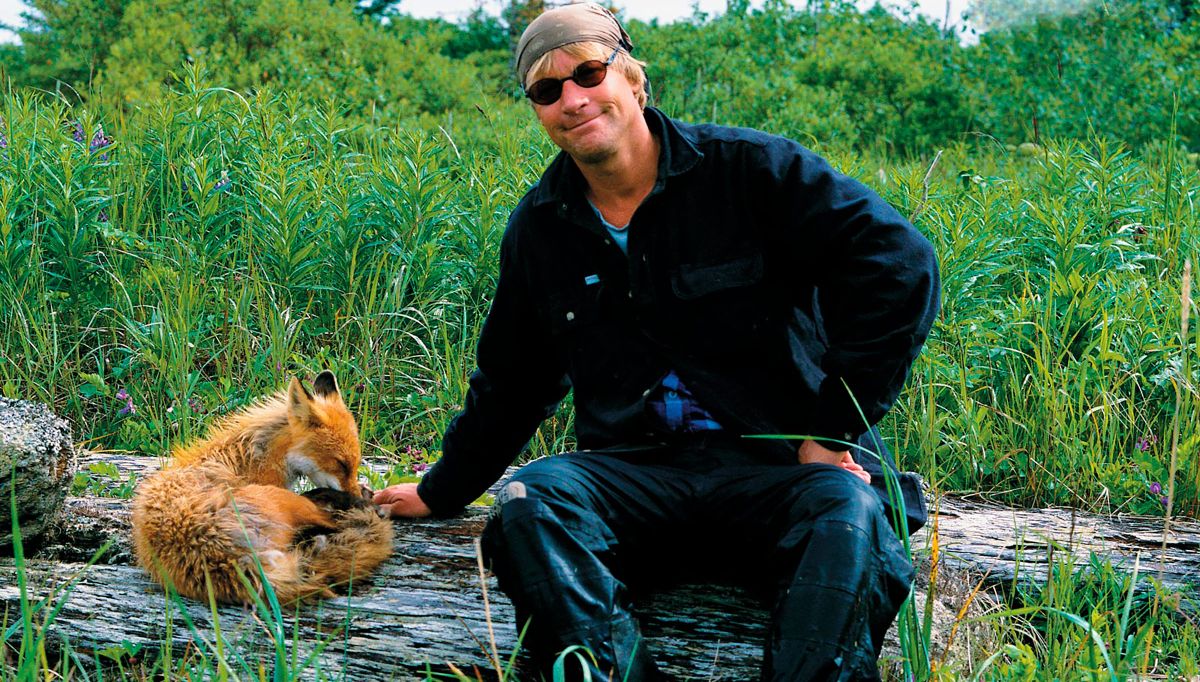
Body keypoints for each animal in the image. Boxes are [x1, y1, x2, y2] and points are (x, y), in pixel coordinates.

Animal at [131, 370, 393, 604]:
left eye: (355, 463)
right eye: (341, 464)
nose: (356, 492)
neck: (257, 457)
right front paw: (362, 501)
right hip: (287, 501)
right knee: (331, 519)